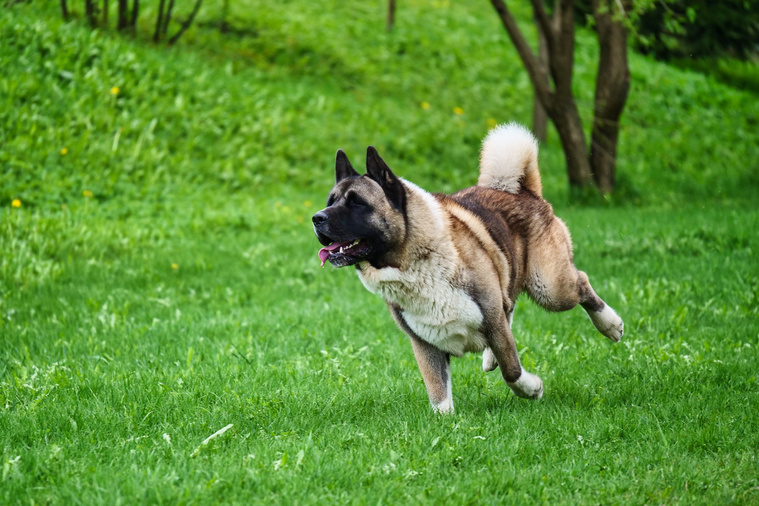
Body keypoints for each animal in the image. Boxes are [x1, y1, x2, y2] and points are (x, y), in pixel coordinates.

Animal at [310, 124, 624, 414]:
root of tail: (522, 191)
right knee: (510, 303)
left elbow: (512, 370)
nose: (317, 218)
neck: (414, 259)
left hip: (550, 287)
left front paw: (532, 388)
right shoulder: (424, 344)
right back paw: (490, 357)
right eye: (331, 201)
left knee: (580, 283)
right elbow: (438, 393)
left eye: (357, 203)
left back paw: (611, 325)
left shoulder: (492, 318)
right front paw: (446, 423)